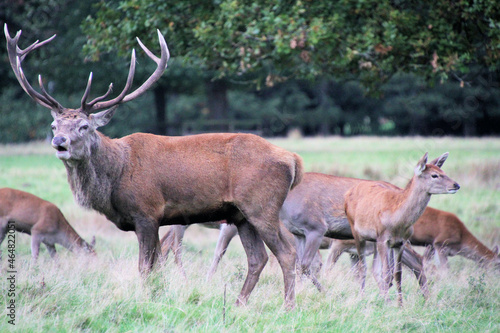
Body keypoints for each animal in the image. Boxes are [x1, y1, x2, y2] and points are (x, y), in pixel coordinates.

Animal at [3, 24, 302, 308]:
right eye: (54, 125)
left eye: (84, 126)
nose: (59, 142)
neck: (116, 176)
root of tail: (292, 159)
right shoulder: (155, 220)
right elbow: (157, 265)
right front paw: (160, 298)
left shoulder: (146, 212)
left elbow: (146, 267)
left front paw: (147, 300)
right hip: (239, 215)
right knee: (258, 258)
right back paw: (239, 305)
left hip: (261, 205)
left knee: (287, 253)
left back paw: (287, 306)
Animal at [346, 152, 458, 304]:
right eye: (434, 175)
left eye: (443, 171)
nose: (456, 185)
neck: (396, 220)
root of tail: (348, 193)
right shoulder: (383, 239)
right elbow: (387, 273)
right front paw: (385, 303)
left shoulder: (400, 242)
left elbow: (397, 274)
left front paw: (399, 304)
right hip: (357, 232)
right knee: (362, 267)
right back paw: (362, 296)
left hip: (374, 241)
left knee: (374, 268)